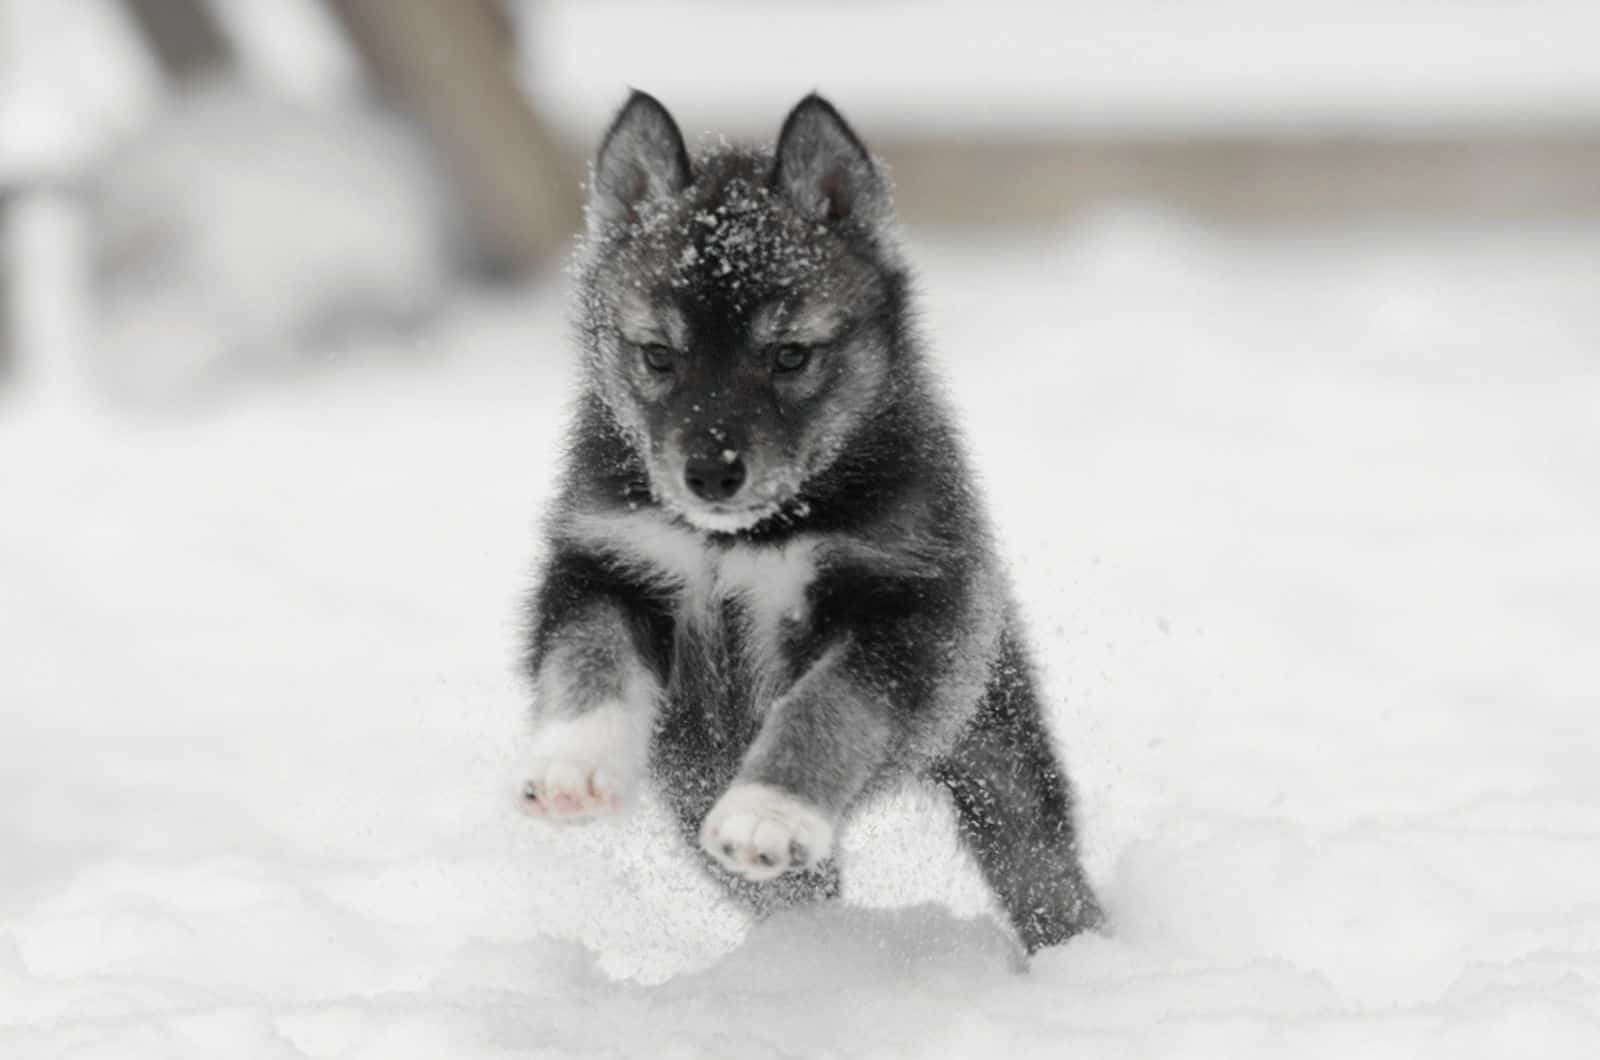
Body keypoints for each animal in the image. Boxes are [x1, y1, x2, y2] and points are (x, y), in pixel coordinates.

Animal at [524, 91, 1100, 954]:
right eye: (658, 355)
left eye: (790, 355)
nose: (711, 474)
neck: (743, 539)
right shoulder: (611, 567)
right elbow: (587, 659)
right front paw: (572, 765)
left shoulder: (900, 612)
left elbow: (822, 708)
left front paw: (770, 811)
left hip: (992, 738)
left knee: (1040, 860)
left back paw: (1081, 953)